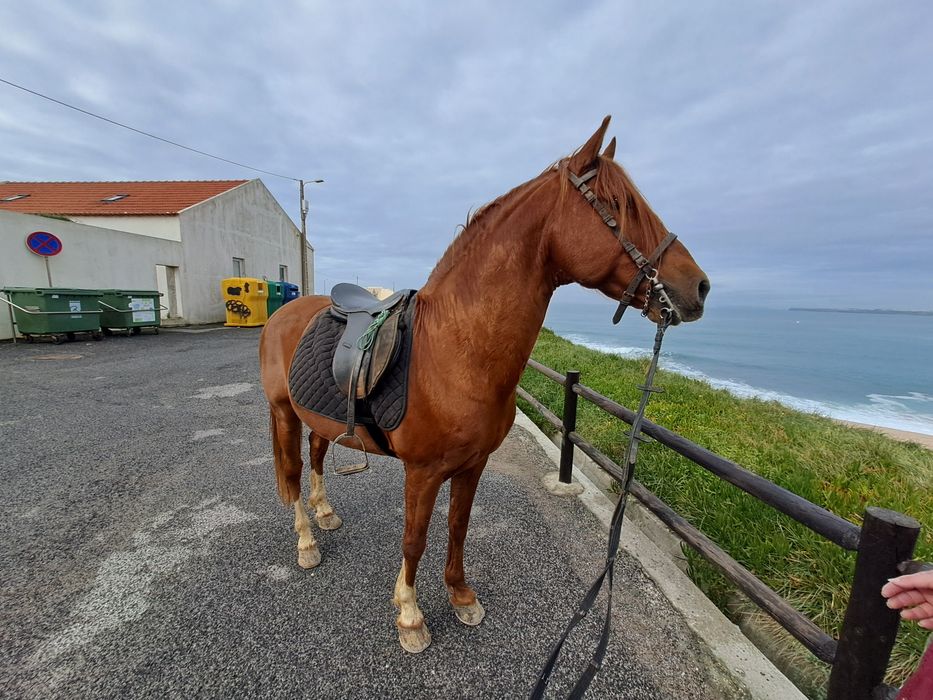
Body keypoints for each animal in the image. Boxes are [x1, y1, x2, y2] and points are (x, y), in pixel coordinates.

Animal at [259, 116, 710, 654]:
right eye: (619, 206)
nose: (699, 286)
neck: (458, 349)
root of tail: (285, 311)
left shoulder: (472, 465)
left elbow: (458, 527)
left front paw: (461, 595)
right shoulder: (423, 472)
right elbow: (415, 539)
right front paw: (410, 615)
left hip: (319, 416)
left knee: (317, 454)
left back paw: (325, 512)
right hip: (283, 411)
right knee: (291, 471)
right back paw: (307, 540)